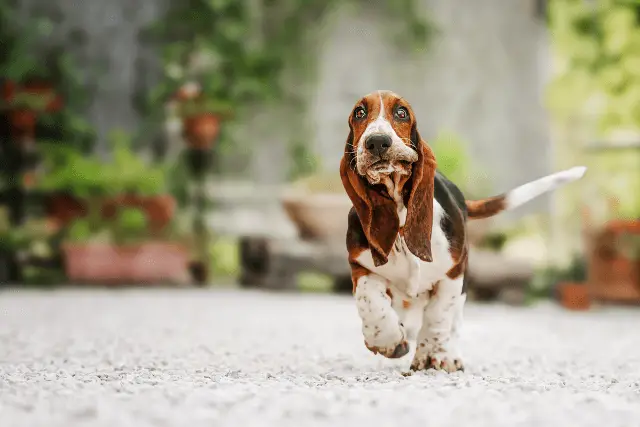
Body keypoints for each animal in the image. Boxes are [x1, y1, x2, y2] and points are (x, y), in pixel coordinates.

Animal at [340, 89, 584, 372]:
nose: (377, 142)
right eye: (359, 113)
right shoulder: (361, 265)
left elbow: (438, 316)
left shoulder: (454, 272)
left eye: (401, 112)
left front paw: (432, 354)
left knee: (452, 321)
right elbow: (369, 300)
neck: (400, 217)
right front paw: (387, 340)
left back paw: (446, 354)